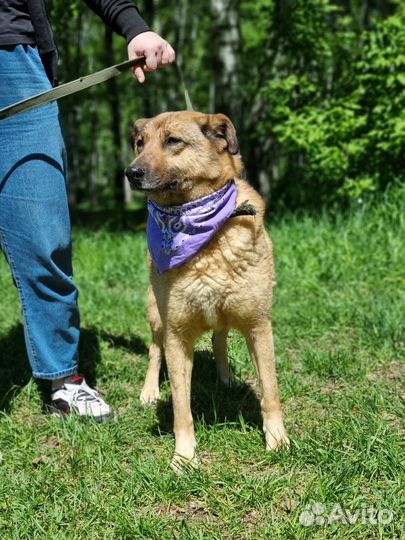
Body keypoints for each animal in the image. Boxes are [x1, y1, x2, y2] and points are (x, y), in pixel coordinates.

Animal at [124, 112, 288, 470]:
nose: (131, 173)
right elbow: (181, 408)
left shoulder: (259, 326)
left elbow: (270, 391)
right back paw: (149, 391)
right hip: (157, 316)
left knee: (219, 339)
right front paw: (184, 457)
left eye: (173, 141)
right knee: (154, 350)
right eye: (140, 143)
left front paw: (278, 440)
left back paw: (225, 378)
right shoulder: (176, 335)